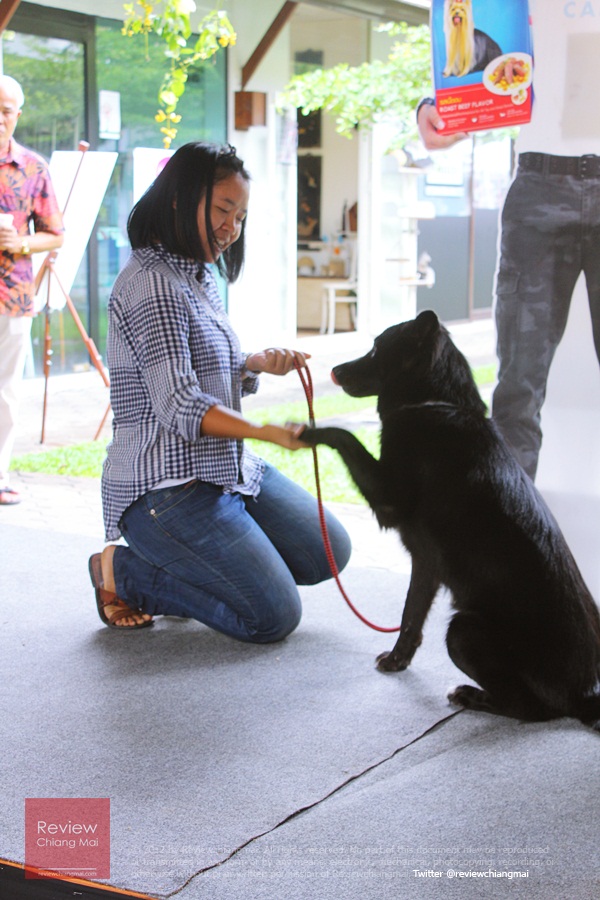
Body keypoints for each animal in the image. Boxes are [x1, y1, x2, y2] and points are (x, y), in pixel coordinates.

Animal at [302, 310, 600, 732]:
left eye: (376, 348)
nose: (334, 370)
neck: (436, 404)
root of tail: (585, 695)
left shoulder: (388, 499)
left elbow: (346, 436)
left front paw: (310, 430)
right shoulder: (426, 563)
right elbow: (411, 615)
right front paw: (399, 659)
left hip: (464, 631)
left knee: (530, 710)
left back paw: (472, 696)